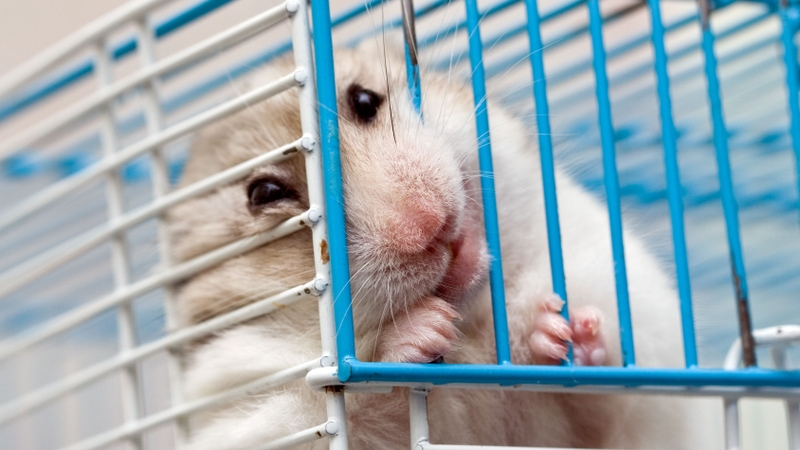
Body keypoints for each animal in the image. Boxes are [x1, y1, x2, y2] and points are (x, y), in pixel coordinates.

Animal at [167, 41, 720, 449]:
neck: (472, 322)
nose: (429, 224)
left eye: (365, 100)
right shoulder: (246, 408)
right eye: (265, 193)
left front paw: (558, 328)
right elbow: (357, 397)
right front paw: (427, 330)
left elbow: (612, 383)